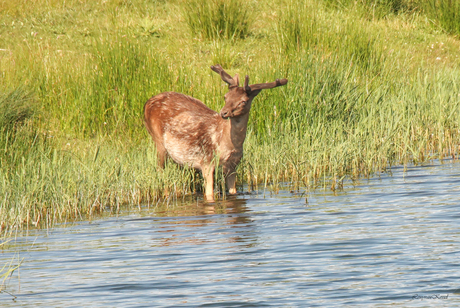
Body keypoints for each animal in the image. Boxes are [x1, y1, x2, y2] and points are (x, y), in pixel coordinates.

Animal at [144, 64, 288, 202]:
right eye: (225, 97)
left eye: (243, 101)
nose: (223, 112)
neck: (227, 144)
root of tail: (146, 104)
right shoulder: (206, 161)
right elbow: (209, 195)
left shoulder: (233, 165)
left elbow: (233, 192)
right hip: (158, 141)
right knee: (160, 172)